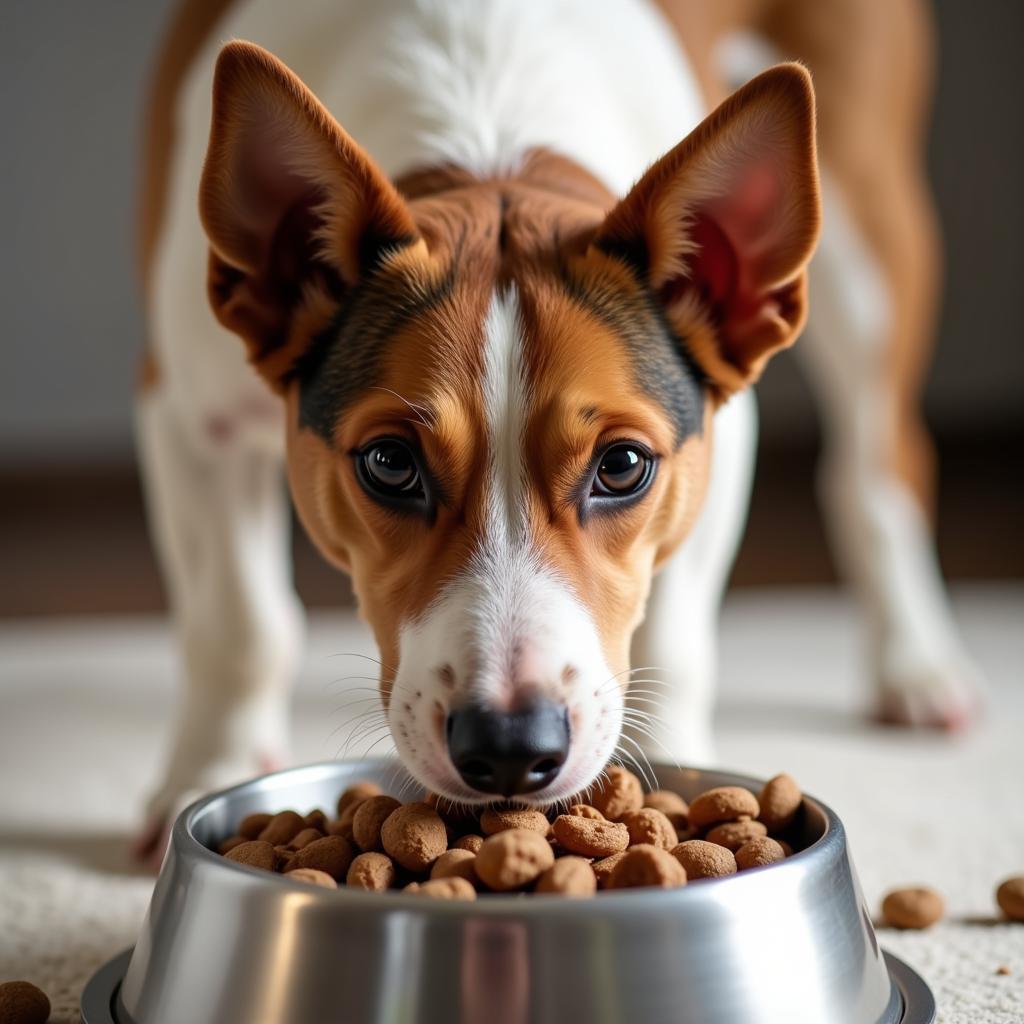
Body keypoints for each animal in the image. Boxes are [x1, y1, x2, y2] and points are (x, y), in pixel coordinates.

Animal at [132, 0, 978, 851]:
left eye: (623, 465)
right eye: (389, 463)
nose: (510, 747)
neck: (489, 134)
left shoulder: (720, 446)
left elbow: (675, 641)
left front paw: (676, 771)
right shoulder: (188, 417)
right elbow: (237, 625)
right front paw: (213, 769)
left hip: (872, 232)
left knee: (876, 467)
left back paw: (916, 664)